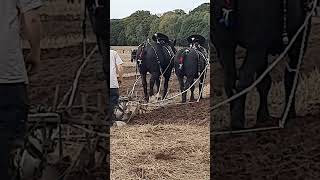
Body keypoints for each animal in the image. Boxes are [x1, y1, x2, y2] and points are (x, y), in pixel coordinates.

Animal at [210, 0, 316, 129]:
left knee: (230, 79)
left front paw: (263, 116)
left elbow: (264, 82)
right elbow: (290, 79)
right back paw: (237, 121)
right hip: (256, 47)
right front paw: (289, 114)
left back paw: (234, 114)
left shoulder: (262, 51)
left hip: (224, 46)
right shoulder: (298, 41)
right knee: (244, 77)